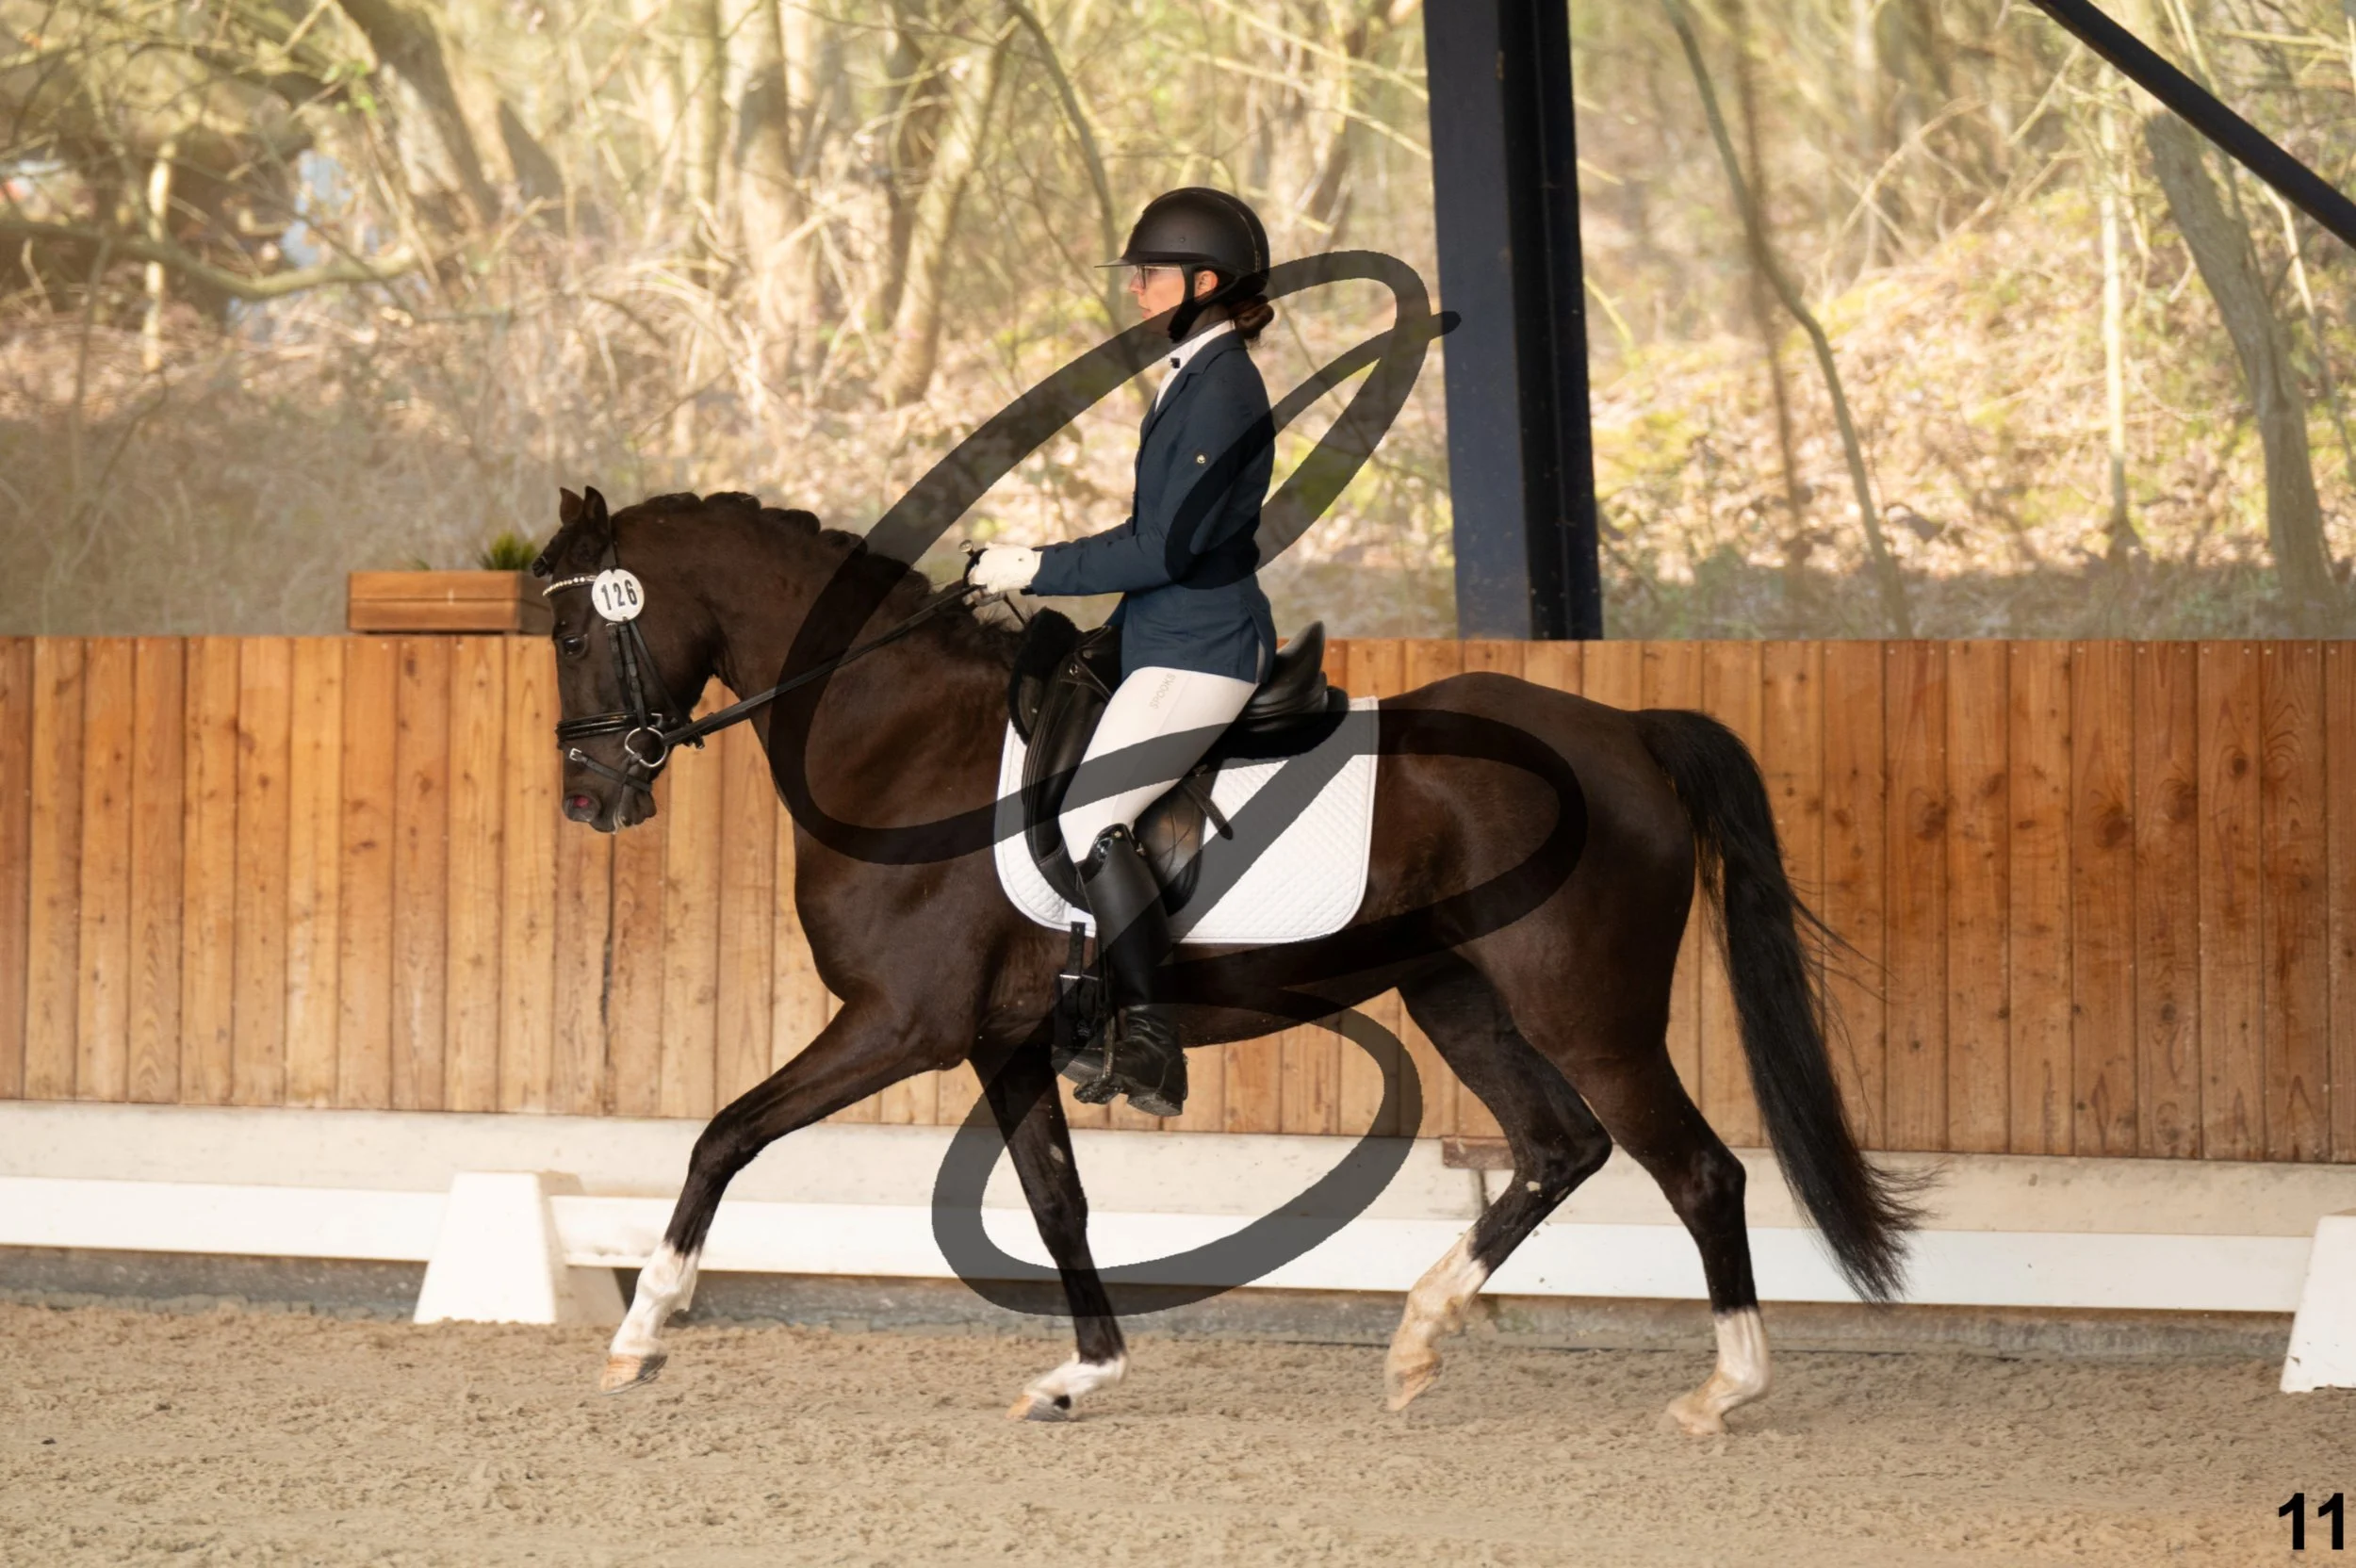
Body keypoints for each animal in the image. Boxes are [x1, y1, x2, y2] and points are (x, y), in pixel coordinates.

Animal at [535, 485, 1918, 1433]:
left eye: (573, 639)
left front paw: (644, 1328)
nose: (589, 800)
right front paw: (1083, 1371)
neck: (900, 742)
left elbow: (726, 1131)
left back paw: (1721, 1392)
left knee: (1696, 1172)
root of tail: (1626, 729)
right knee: (1557, 1148)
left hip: (1589, 1012)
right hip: (1460, 997)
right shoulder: (1001, 1039)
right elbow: (1055, 1201)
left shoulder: (900, 1024)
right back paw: (1419, 1337)